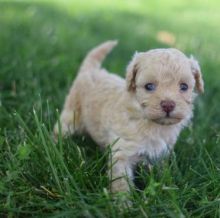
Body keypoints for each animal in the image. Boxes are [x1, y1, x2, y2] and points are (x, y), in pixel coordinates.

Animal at [53, 41, 205, 192]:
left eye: (184, 87)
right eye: (149, 86)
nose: (168, 105)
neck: (151, 123)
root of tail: (91, 70)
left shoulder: (160, 154)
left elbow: (161, 172)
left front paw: (167, 186)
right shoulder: (122, 152)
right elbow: (121, 181)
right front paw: (122, 199)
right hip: (71, 115)